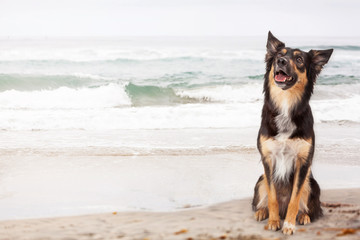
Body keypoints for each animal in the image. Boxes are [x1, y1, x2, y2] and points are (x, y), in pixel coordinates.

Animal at [252, 31, 334, 234]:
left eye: (298, 59)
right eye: (278, 55)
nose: (280, 61)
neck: (285, 104)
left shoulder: (302, 162)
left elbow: (294, 199)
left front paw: (288, 225)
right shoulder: (268, 160)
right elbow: (272, 196)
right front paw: (274, 221)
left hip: (312, 184)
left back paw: (303, 216)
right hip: (260, 180)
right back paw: (262, 212)